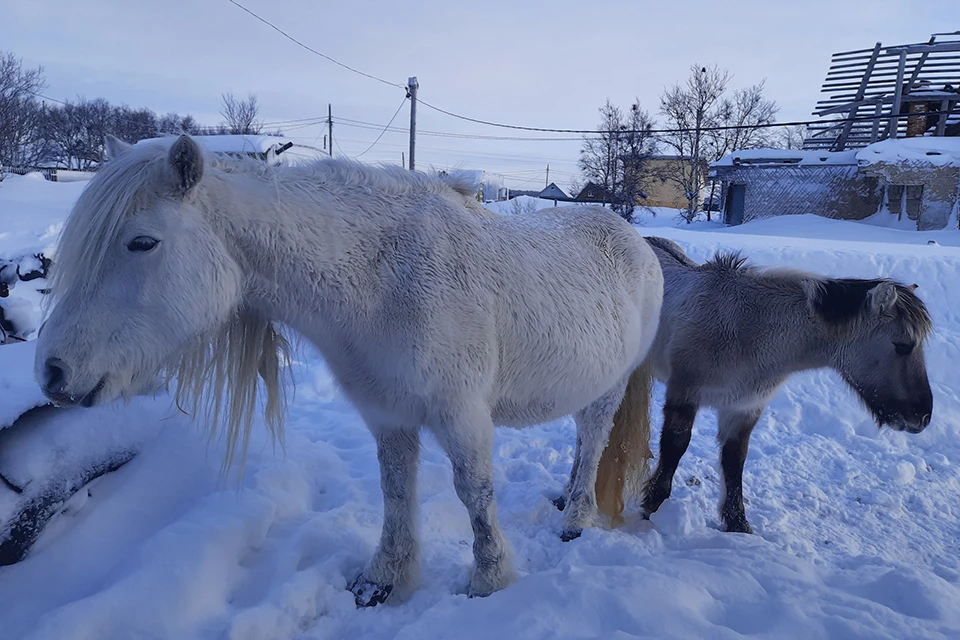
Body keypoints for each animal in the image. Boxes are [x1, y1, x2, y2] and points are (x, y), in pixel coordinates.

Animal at [30, 135, 660, 604]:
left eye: (142, 242)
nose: (52, 373)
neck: (381, 280)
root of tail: (636, 240)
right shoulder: (388, 416)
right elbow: (395, 490)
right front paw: (383, 580)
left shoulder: (462, 417)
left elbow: (475, 495)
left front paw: (489, 581)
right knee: (583, 439)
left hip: (611, 387)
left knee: (595, 436)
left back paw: (576, 517)